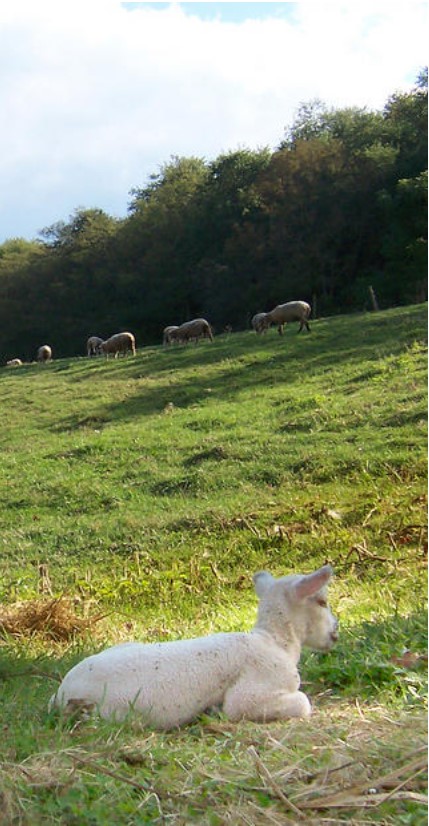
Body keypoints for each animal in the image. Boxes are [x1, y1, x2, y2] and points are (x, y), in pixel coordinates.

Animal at [49, 564, 338, 728]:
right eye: (322, 601)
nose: (335, 632)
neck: (275, 640)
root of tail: (61, 692)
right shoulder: (253, 691)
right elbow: (302, 701)